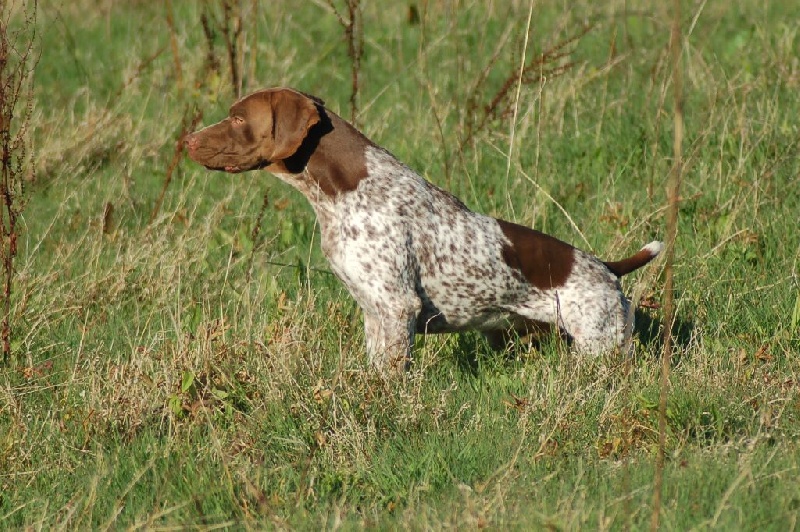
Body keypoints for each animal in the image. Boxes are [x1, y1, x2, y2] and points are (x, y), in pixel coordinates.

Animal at [186, 87, 662, 374]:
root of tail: (606, 267)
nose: (186, 140)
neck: (345, 190)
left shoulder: (397, 308)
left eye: (237, 119)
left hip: (601, 346)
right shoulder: (376, 313)